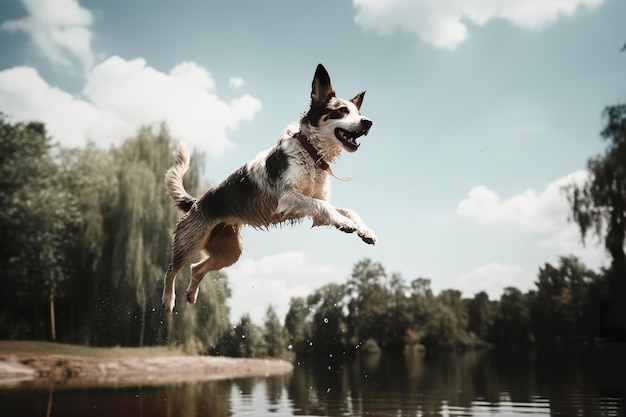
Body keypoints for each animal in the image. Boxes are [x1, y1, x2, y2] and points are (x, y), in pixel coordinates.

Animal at [162, 64, 376, 312]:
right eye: (341, 111)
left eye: (358, 113)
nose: (368, 122)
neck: (310, 152)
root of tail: (196, 203)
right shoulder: (288, 197)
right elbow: (325, 207)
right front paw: (346, 224)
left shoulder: (315, 208)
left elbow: (346, 210)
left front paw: (364, 231)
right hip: (190, 242)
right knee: (171, 269)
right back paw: (168, 300)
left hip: (230, 251)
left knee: (196, 268)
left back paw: (190, 295)